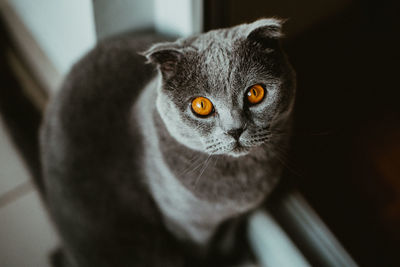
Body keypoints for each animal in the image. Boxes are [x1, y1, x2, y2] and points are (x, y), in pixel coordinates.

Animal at [39, 17, 296, 266]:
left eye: (255, 93)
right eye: (201, 105)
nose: (235, 129)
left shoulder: (238, 215)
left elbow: (230, 234)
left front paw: (232, 253)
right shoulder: (187, 227)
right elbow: (200, 251)